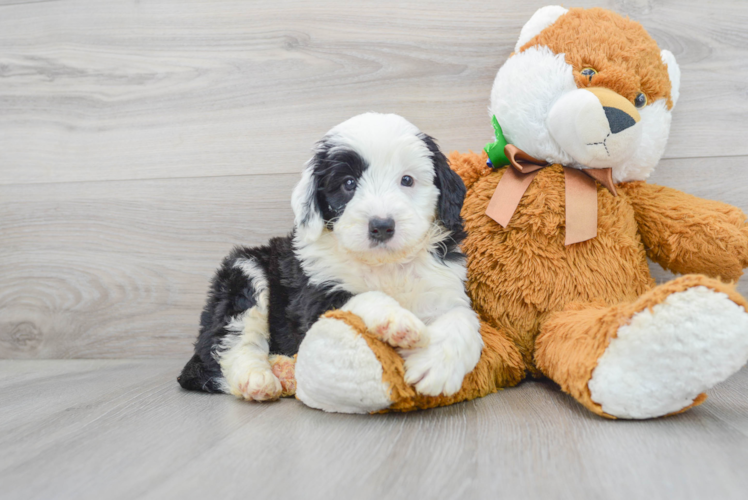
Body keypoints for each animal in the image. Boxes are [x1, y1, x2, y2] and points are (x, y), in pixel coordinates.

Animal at [178, 113, 482, 402]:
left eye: (407, 180)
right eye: (348, 183)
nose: (382, 226)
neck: (385, 264)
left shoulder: (445, 287)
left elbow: (465, 319)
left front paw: (437, 366)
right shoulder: (314, 298)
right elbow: (362, 298)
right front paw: (397, 320)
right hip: (243, 272)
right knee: (234, 341)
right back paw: (257, 379)